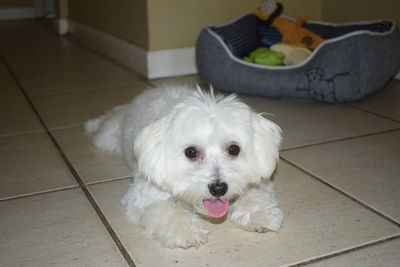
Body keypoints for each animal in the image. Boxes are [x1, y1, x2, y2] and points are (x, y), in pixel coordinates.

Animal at [86, 85, 282, 249]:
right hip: (107, 137)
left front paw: (259, 213)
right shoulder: (145, 194)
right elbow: (168, 209)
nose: (218, 188)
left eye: (234, 149)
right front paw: (186, 229)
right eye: (191, 152)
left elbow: (253, 194)